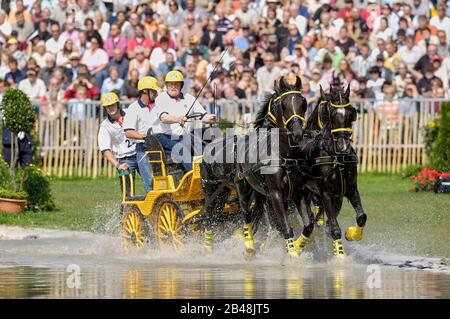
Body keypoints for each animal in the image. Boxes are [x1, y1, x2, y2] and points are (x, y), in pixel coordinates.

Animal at [200, 76, 310, 258]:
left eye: (304, 103)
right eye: (283, 105)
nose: (297, 134)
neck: (284, 154)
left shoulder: (297, 193)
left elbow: (308, 226)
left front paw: (298, 248)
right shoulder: (275, 194)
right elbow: (285, 227)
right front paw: (292, 255)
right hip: (224, 189)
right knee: (233, 215)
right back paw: (242, 247)